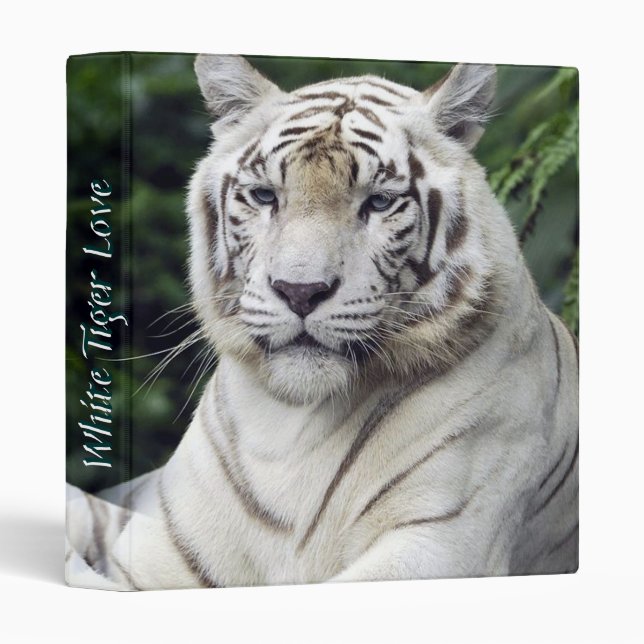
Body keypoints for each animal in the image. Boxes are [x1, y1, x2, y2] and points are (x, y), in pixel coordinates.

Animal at [65, 54, 579, 590]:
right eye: (264, 196)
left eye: (378, 202)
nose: (300, 291)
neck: (290, 429)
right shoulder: (157, 550)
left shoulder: (439, 543)